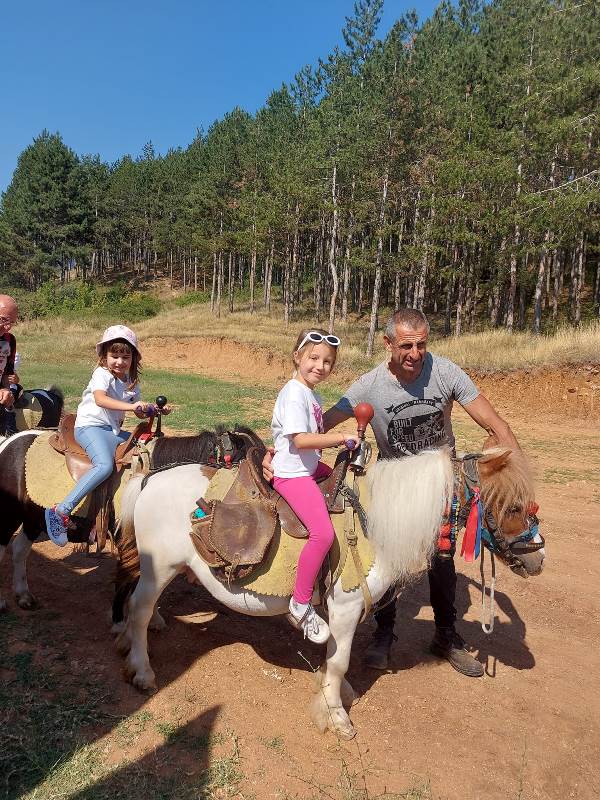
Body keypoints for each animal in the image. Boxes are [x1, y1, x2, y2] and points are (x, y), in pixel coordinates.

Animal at [113, 433, 546, 740]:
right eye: (512, 506)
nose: (537, 559)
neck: (377, 520)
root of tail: (148, 479)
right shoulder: (346, 607)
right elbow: (339, 661)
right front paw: (337, 717)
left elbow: (332, 660)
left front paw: (335, 694)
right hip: (160, 568)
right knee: (138, 610)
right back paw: (142, 670)